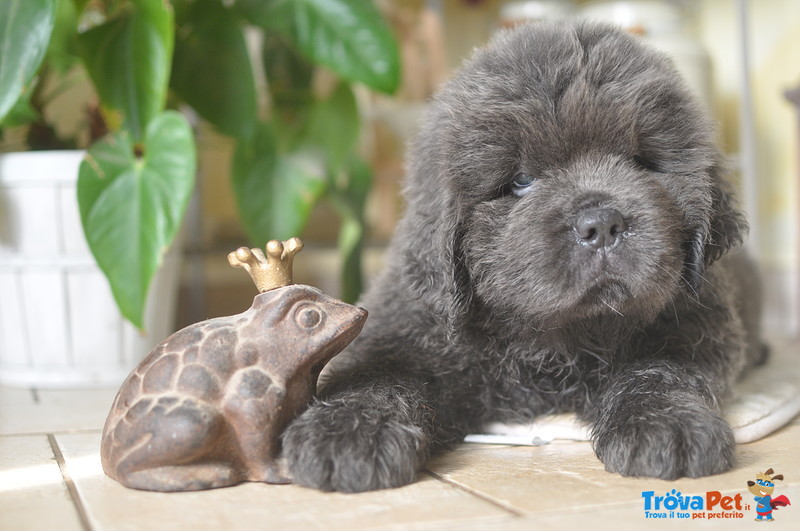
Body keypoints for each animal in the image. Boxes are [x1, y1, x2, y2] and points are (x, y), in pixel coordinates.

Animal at [284, 21, 764, 494]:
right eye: (520, 181)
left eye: (641, 163)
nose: (602, 224)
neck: (552, 345)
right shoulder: (402, 331)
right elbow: (377, 375)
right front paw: (346, 430)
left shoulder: (696, 329)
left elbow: (658, 372)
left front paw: (667, 426)